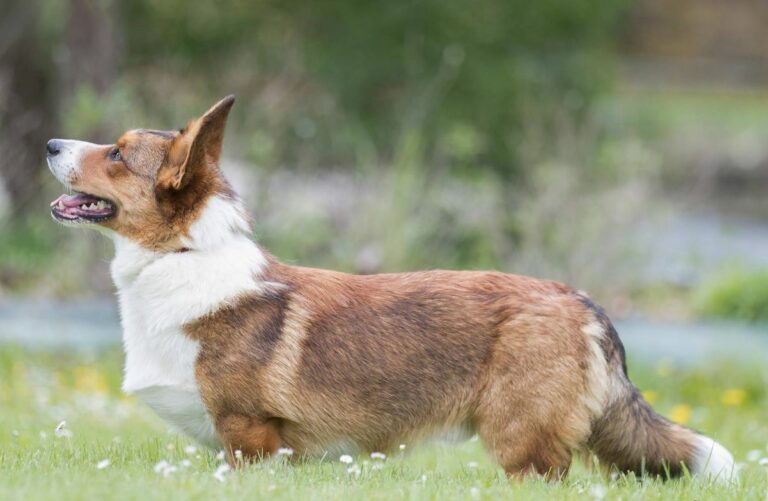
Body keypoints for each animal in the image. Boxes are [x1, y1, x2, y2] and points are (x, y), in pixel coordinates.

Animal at [45, 94, 736, 480]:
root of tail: (581, 302)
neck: (180, 259)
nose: (50, 142)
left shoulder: (250, 436)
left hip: (523, 446)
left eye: (117, 153)